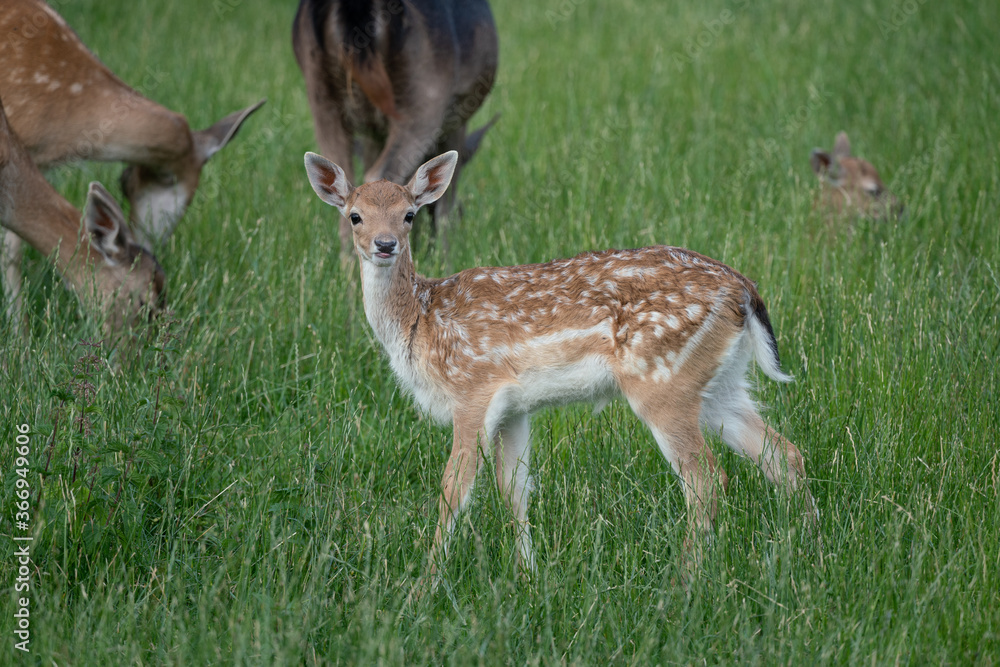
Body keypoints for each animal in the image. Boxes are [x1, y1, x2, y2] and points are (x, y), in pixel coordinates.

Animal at [294, 0, 500, 260]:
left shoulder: (373, 132)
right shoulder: (455, 119)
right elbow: (446, 199)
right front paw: (444, 257)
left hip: (318, 91)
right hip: (425, 92)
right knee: (381, 172)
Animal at [304, 150, 812, 580]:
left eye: (409, 214)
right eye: (355, 215)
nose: (384, 244)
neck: (420, 320)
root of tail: (744, 291)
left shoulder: (471, 389)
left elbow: (454, 490)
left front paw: (422, 587)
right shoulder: (513, 408)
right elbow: (514, 491)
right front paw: (529, 577)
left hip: (662, 379)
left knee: (706, 478)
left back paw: (684, 580)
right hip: (720, 383)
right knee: (783, 453)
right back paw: (805, 549)